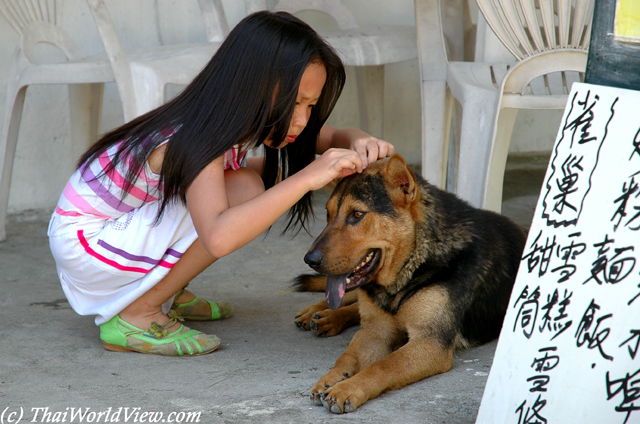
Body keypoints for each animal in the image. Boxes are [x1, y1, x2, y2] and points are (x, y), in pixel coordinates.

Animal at [292, 154, 524, 412]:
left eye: (357, 215)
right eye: (328, 214)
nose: (310, 260)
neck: (413, 262)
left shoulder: (430, 342)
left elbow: (384, 365)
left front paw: (347, 388)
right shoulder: (376, 330)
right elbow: (347, 356)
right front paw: (332, 377)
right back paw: (320, 314)